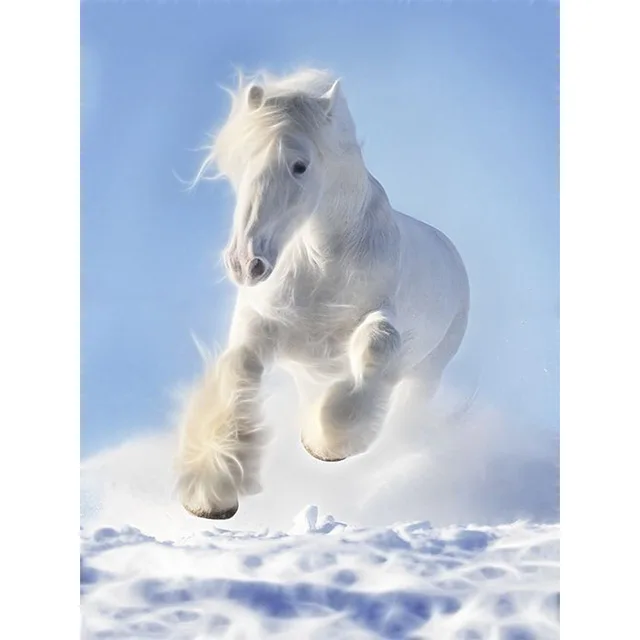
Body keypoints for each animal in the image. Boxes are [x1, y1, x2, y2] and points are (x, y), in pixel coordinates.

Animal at [175, 68, 470, 520]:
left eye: (300, 165)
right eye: (241, 163)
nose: (245, 263)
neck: (320, 266)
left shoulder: (378, 322)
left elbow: (378, 342)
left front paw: (328, 444)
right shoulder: (262, 329)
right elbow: (238, 372)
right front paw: (212, 492)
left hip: (425, 376)